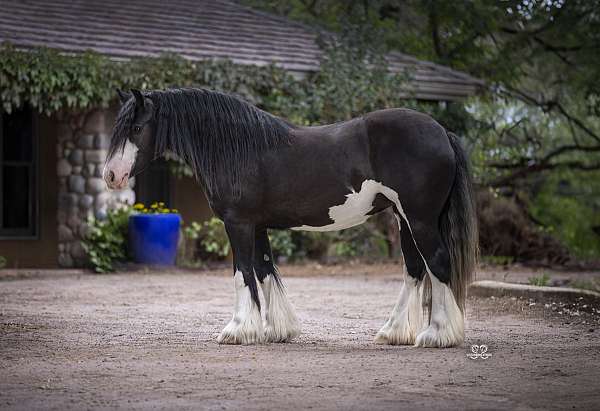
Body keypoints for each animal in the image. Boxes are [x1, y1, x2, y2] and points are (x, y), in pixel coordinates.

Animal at [104, 88, 478, 350]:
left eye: (137, 127)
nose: (111, 176)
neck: (238, 149)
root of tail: (442, 132)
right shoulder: (257, 225)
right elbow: (264, 269)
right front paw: (276, 329)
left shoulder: (238, 223)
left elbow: (242, 272)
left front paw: (238, 330)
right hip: (403, 218)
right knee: (415, 269)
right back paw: (393, 332)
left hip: (420, 219)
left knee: (437, 264)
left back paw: (438, 335)